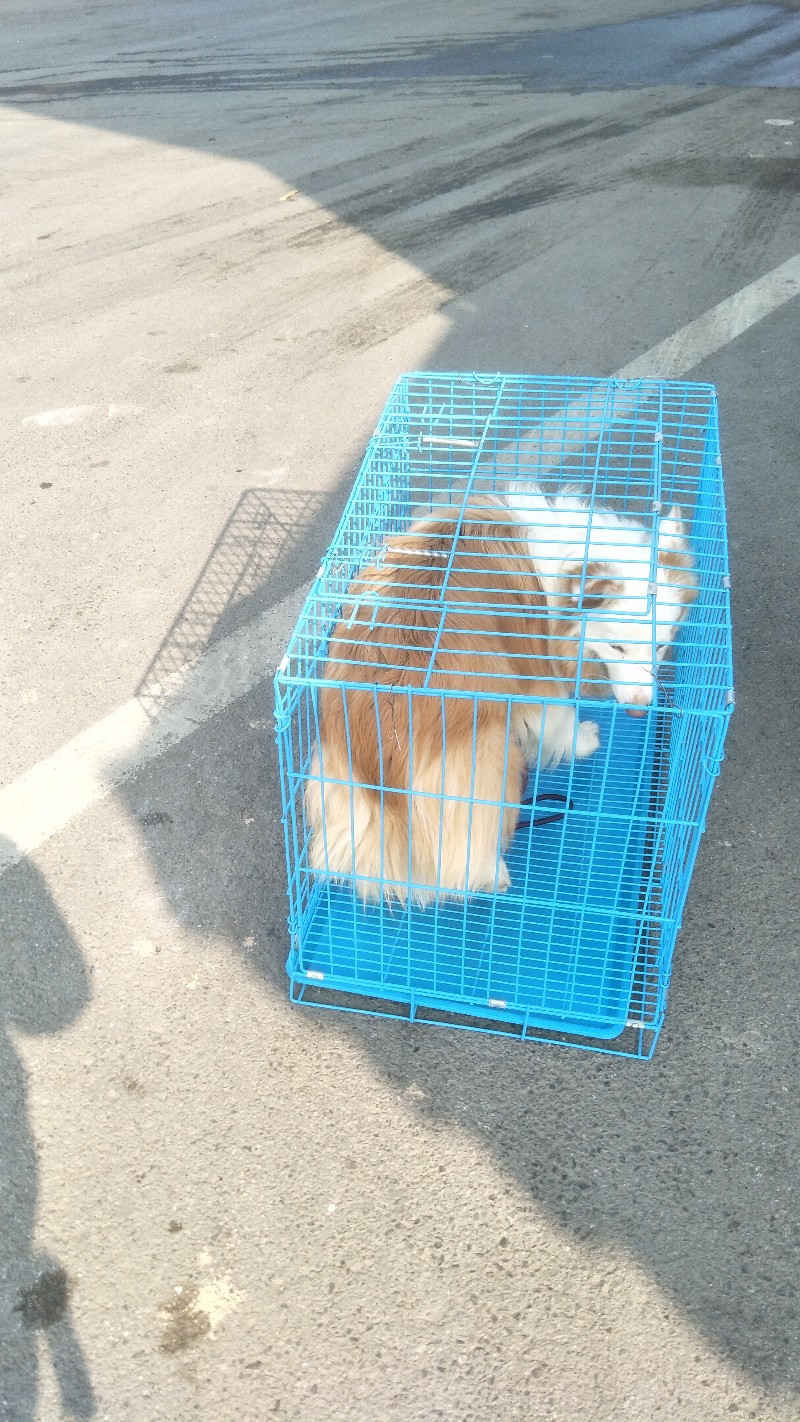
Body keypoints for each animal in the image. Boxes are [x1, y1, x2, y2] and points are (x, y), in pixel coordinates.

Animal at [306, 500, 602, 904]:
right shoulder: (537, 683)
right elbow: (562, 725)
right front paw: (587, 739)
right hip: (489, 755)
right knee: (465, 856)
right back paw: (494, 876)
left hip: (336, 785)